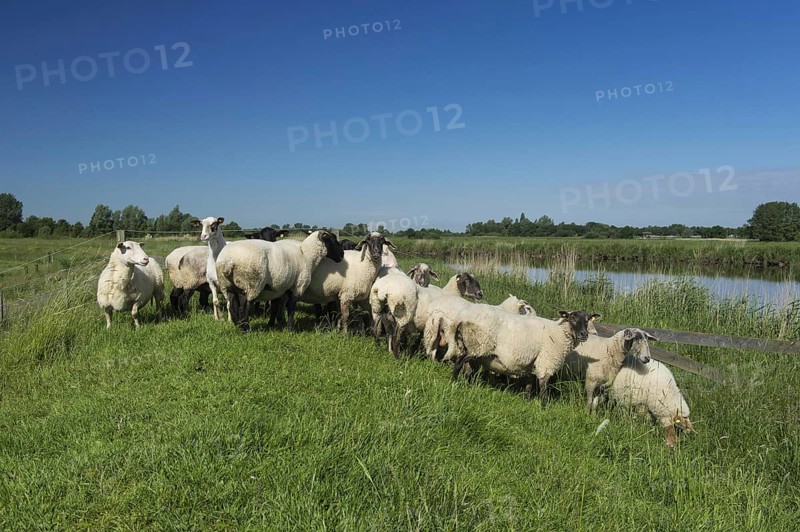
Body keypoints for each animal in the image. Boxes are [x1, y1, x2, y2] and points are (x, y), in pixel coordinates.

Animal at [215, 230, 344, 331]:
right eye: (332, 240)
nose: (342, 255)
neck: (306, 254)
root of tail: (228, 261)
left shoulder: (280, 288)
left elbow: (276, 307)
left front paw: (272, 324)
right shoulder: (298, 285)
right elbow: (291, 306)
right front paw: (290, 328)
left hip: (227, 285)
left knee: (232, 306)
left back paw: (238, 326)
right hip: (251, 283)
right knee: (243, 307)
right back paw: (246, 328)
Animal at [451, 310, 599, 404]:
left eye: (587, 320)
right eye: (572, 318)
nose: (584, 334)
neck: (559, 332)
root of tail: (462, 318)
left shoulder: (531, 363)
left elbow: (529, 384)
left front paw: (526, 401)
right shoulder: (546, 361)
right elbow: (543, 386)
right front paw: (544, 406)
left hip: (472, 347)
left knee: (467, 369)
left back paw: (467, 385)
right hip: (478, 344)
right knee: (459, 362)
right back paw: (454, 382)